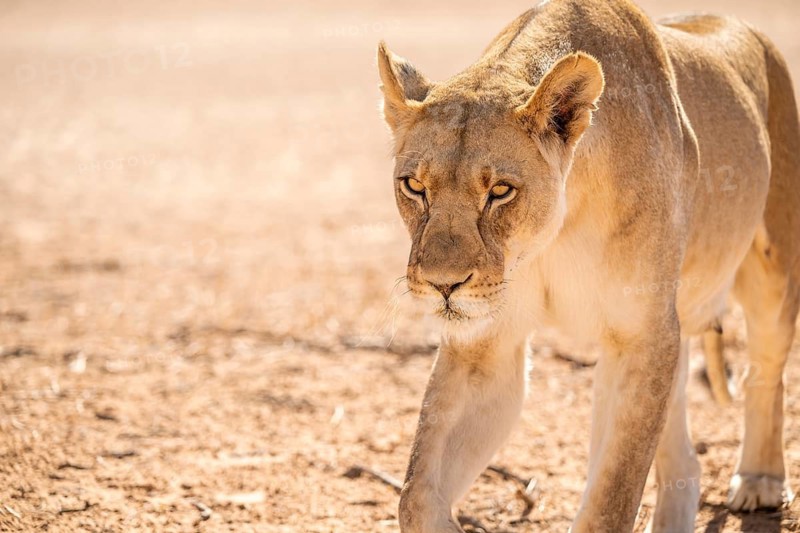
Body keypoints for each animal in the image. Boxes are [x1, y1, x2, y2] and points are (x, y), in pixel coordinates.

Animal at [376, 0, 800, 531]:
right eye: (414, 186)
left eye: (500, 191)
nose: (442, 285)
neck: (554, 231)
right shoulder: (485, 345)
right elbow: (415, 495)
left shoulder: (641, 335)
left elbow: (610, 502)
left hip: (771, 272)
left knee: (765, 373)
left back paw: (761, 480)